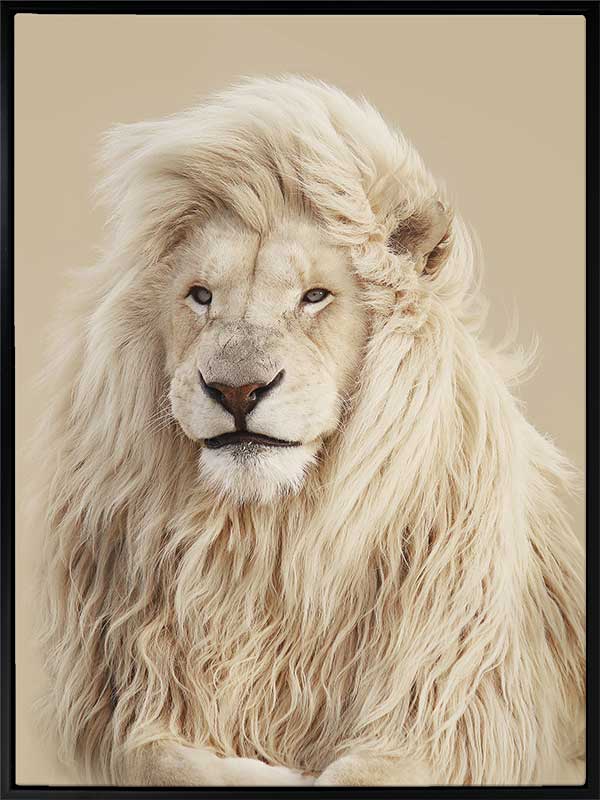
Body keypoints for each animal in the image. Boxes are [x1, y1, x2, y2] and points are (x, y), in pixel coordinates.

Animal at [36, 76, 585, 786]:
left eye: (315, 296)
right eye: (201, 295)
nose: (236, 391)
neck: (268, 543)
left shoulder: (453, 717)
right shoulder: (119, 704)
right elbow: (162, 760)